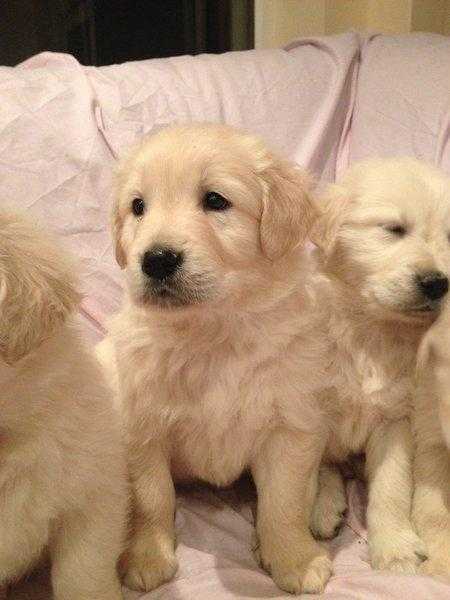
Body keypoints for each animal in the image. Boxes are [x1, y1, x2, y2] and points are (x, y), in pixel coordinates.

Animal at [100, 123, 334, 596]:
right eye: (138, 207)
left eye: (215, 200)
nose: (156, 259)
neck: (213, 333)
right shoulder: (141, 428)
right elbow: (153, 497)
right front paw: (147, 555)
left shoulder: (291, 421)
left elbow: (284, 501)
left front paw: (295, 559)